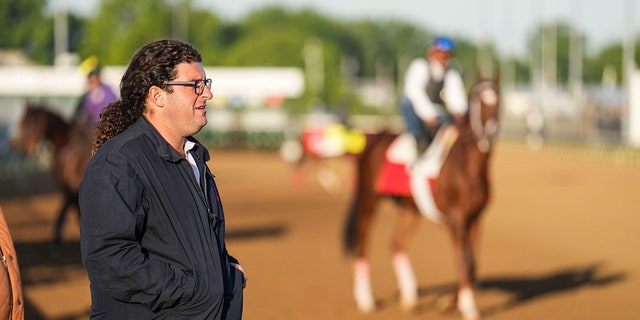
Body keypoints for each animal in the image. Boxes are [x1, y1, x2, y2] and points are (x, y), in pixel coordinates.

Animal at [10, 104, 94, 246]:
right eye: (23, 122)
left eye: (37, 123)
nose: (25, 147)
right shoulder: (69, 187)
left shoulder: (70, 185)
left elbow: (66, 209)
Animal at [344, 78, 500, 320]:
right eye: (478, 103)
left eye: (498, 101)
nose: (490, 131)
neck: (469, 166)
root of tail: (374, 137)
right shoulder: (456, 218)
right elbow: (464, 262)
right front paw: (466, 307)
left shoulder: (476, 217)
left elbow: (472, 264)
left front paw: (448, 302)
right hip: (369, 198)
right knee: (362, 243)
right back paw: (366, 300)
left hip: (410, 209)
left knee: (396, 244)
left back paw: (410, 298)